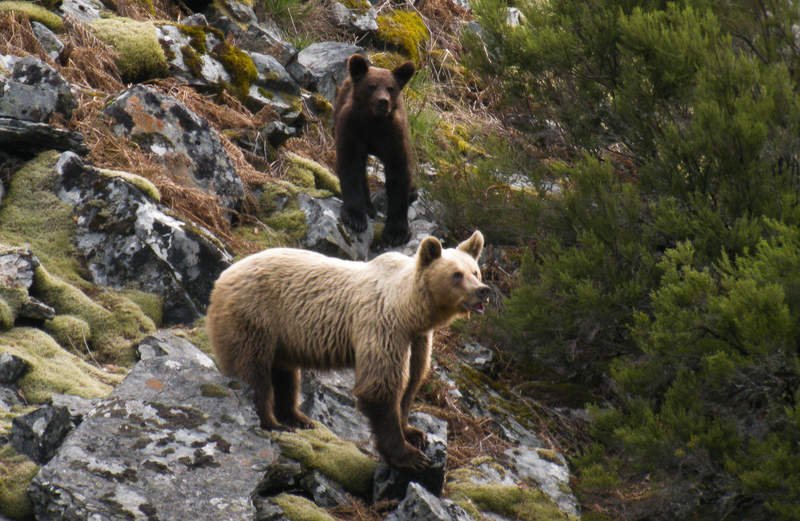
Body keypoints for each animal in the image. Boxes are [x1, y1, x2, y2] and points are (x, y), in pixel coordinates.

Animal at [208, 231, 488, 468]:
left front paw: (414, 431)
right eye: (456, 274)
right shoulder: (382, 327)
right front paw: (408, 454)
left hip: (282, 337)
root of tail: (222, 276)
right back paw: (272, 423)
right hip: (254, 317)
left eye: (475, 271)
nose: (482, 291)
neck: (409, 311)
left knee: (285, 375)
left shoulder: (418, 339)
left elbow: (412, 381)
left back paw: (299, 418)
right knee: (253, 372)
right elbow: (380, 388)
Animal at [332, 54, 416, 246]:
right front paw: (355, 217)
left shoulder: (394, 138)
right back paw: (368, 207)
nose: (383, 101)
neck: (374, 123)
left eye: (391, 88)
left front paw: (396, 231)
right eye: (372, 86)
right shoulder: (352, 130)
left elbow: (399, 175)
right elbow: (350, 167)